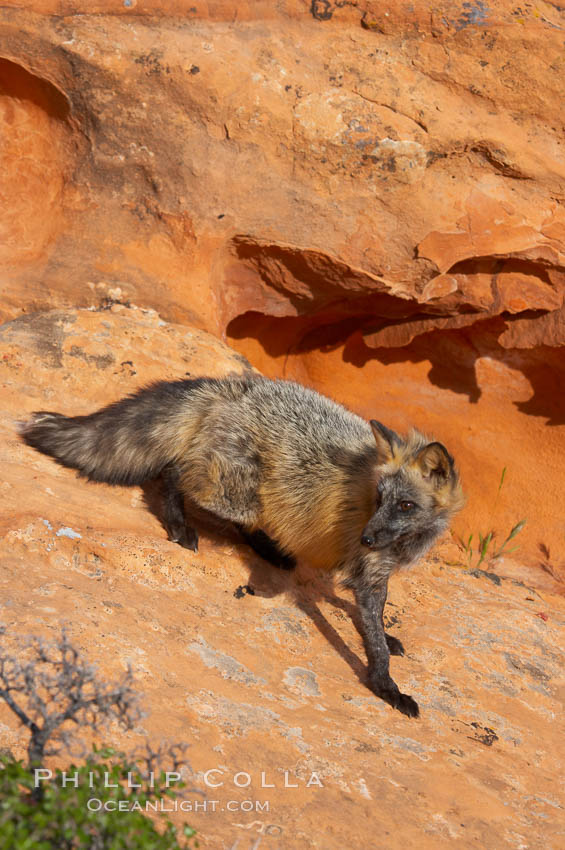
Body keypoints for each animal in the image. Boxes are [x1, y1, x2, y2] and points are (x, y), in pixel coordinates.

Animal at [20, 374, 462, 712]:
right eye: (378, 498)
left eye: (405, 504)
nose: (367, 537)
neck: (404, 543)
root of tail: (232, 384)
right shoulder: (365, 574)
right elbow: (375, 643)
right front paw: (387, 687)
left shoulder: (377, 573)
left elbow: (376, 620)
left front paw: (386, 638)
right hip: (237, 495)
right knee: (173, 471)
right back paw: (179, 525)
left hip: (255, 499)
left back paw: (270, 550)